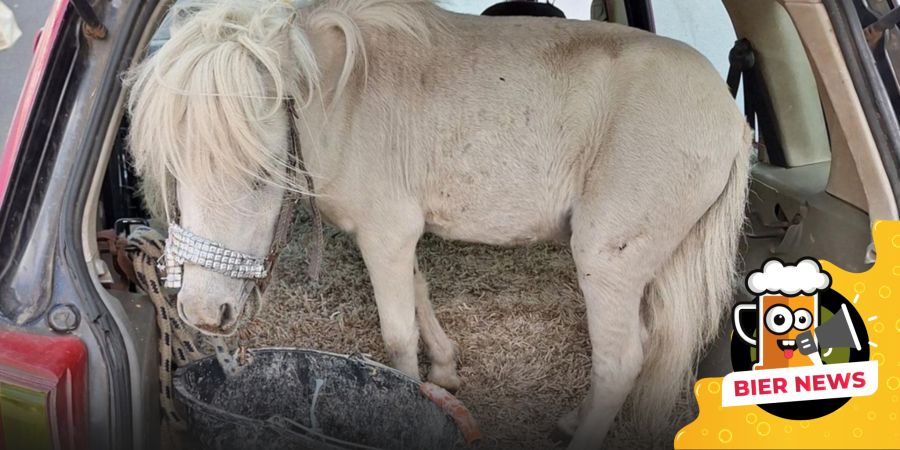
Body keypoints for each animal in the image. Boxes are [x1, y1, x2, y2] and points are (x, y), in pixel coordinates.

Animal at [126, 0, 751, 446]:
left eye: (260, 173)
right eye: (173, 170)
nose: (203, 312)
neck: (344, 99)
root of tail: (730, 118)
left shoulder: (386, 232)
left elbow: (398, 336)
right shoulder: (395, 234)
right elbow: (420, 293)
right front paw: (446, 371)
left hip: (607, 258)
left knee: (621, 361)